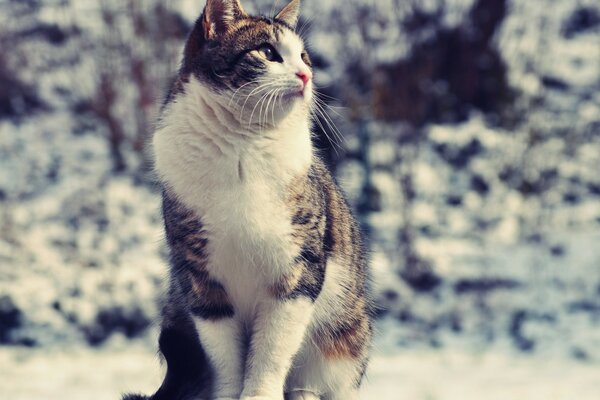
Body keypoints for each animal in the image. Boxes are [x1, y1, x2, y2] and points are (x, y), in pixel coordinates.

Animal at [125, 0, 372, 400]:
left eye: (303, 56)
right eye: (268, 52)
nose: (306, 75)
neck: (242, 144)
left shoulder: (297, 269)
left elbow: (273, 347)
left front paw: (260, 393)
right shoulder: (201, 278)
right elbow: (223, 355)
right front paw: (229, 393)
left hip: (346, 337)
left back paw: (305, 392)